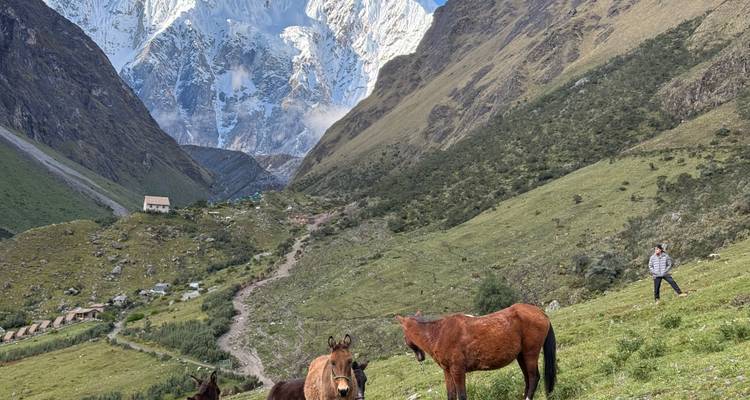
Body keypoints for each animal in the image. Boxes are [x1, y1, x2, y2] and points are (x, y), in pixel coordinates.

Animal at [396, 304, 556, 400]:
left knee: (534, 378)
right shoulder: (447, 372)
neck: (439, 333)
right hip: (521, 356)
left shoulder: (458, 371)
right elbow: (451, 395)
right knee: (528, 379)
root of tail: (540, 312)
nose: (420, 357)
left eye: (403, 335)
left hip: (530, 354)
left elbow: (462, 395)